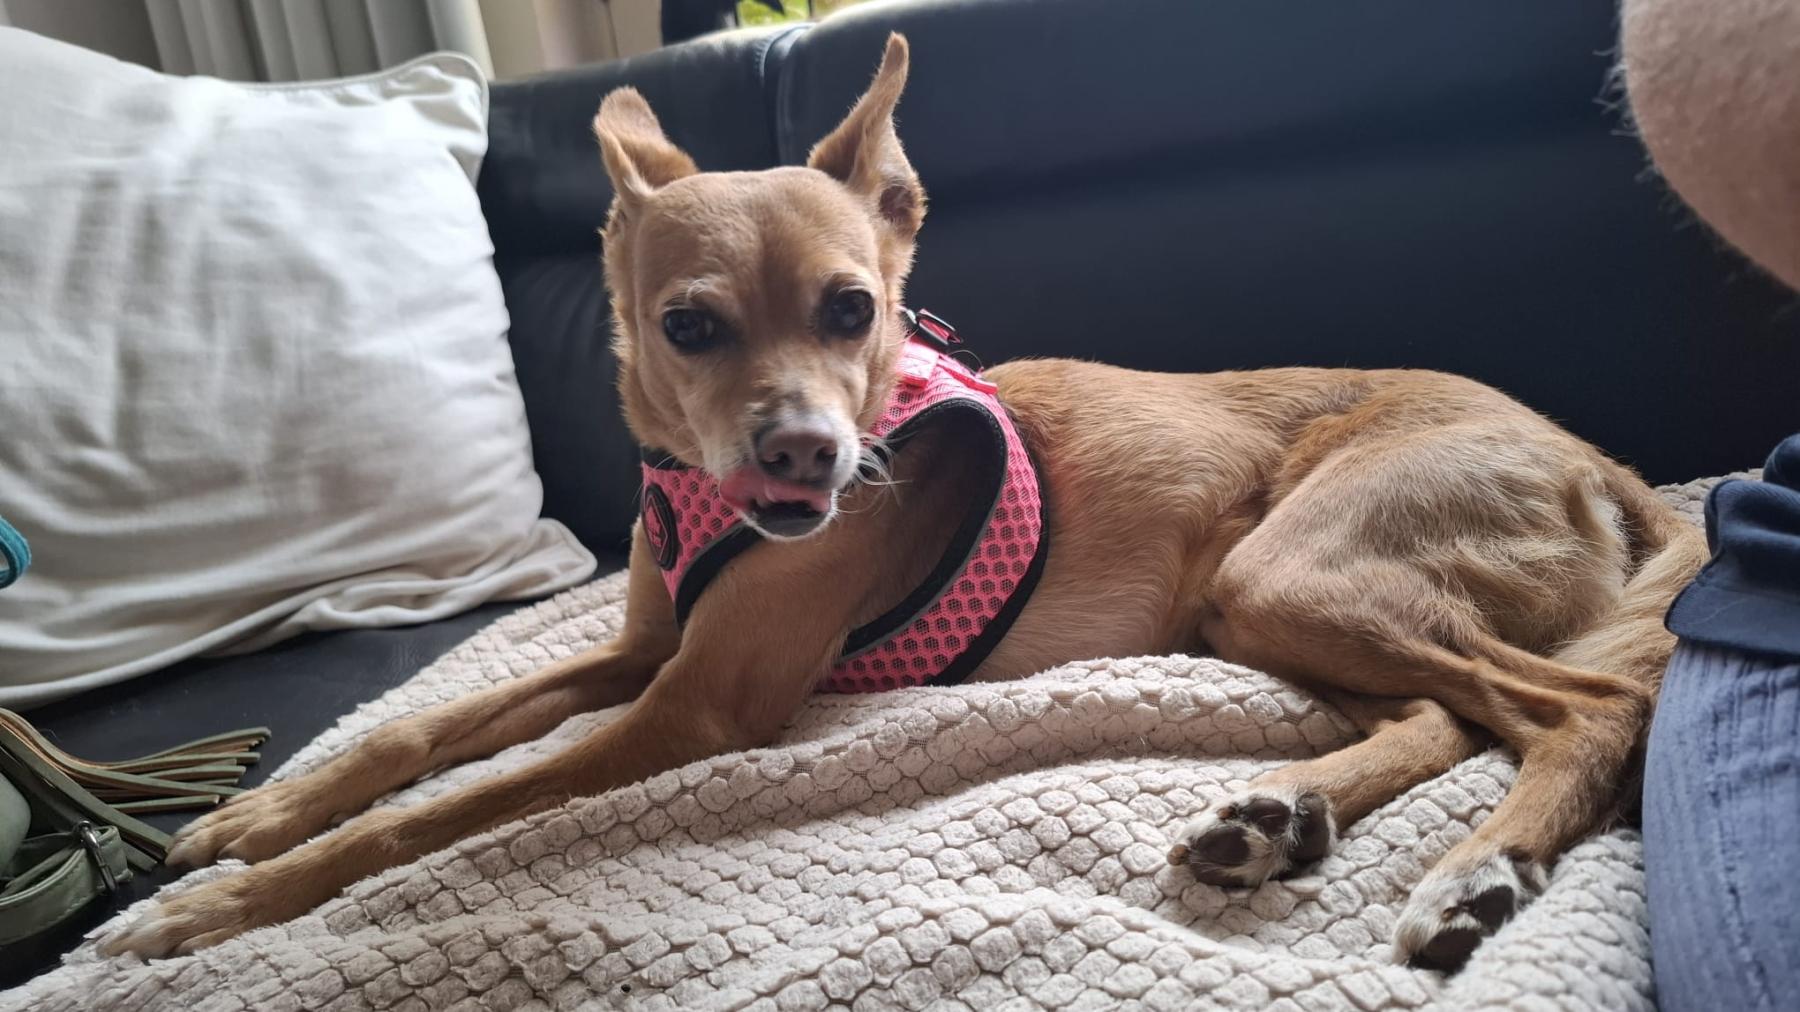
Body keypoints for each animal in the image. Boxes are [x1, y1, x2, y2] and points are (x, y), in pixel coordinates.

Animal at [102, 35, 1707, 973]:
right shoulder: (639, 657)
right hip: (1263, 605)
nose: (809, 460)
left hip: (1296, 573)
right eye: (688, 327)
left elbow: (441, 812)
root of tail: (1590, 457)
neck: (699, 507)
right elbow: (419, 738)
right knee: (1445, 715)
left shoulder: (694, 707)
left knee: (1581, 709)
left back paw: (1475, 873)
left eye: (852, 307)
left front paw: (225, 909)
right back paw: (1278, 817)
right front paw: (259, 820)